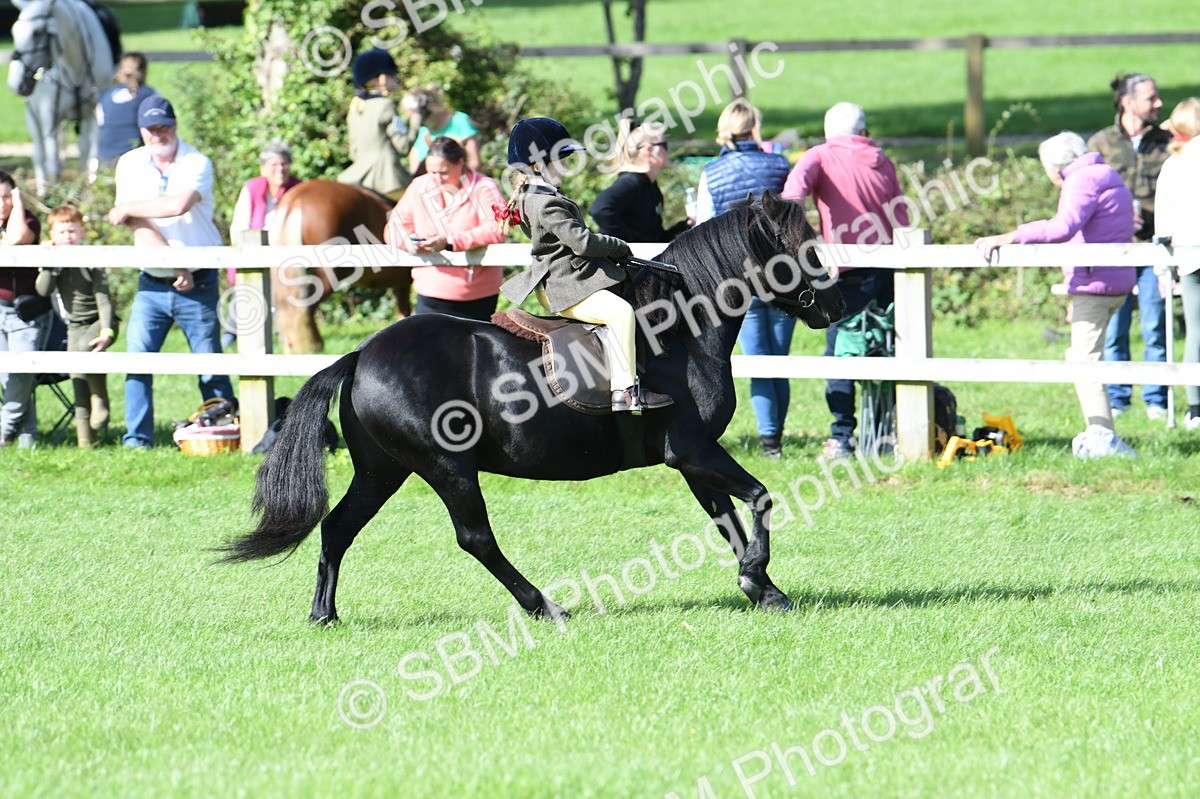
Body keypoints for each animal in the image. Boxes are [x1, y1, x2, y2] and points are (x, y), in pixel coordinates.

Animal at [7, 0, 117, 194]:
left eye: (37, 33)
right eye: (14, 31)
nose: (15, 82)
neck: (75, 64)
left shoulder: (93, 112)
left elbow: (89, 156)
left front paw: (88, 190)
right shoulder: (49, 114)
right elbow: (52, 162)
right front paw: (54, 195)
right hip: (33, 115)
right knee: (39, 154)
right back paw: (43, 191)